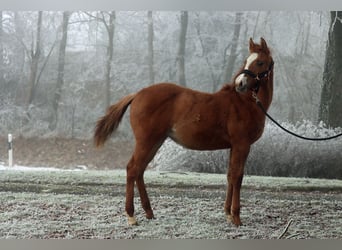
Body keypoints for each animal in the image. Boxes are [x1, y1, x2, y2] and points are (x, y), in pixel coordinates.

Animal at [93, 37, 272, 227]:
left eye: (259, 62)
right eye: (247, 61)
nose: (240, 84)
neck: (245, 103)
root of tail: (137, 94)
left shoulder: (234, 147)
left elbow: (230, 175)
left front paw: (228, 214)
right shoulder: (242, 145)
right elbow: (238, 177)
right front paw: (236, 217)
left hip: (155, 142)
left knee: (139, 171)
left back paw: (149, 212)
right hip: (146, 141)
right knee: (132, 169)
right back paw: (131, 216)